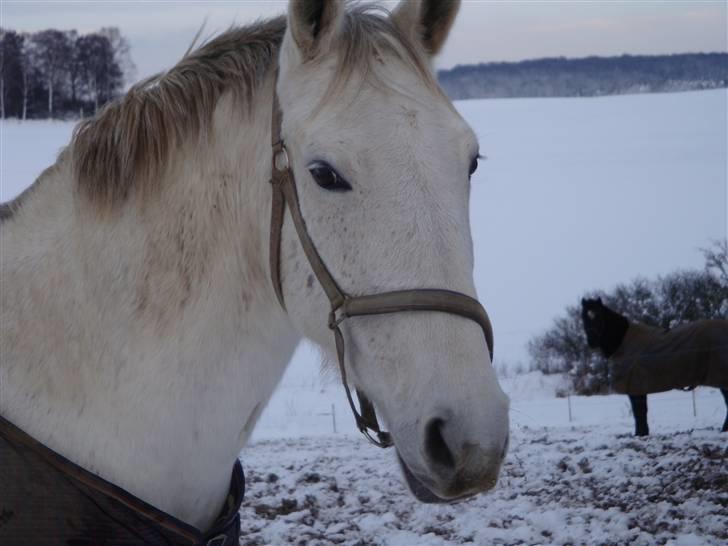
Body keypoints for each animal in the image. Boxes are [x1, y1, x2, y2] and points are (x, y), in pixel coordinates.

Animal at [580, 296, 728, 436]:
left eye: (599, 316)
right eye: (584, 317)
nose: (592, 341)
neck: (622, 342)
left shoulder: (635, 386)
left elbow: (639, 412)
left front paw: (640, 433)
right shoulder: (637, 386)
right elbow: (640, 412)